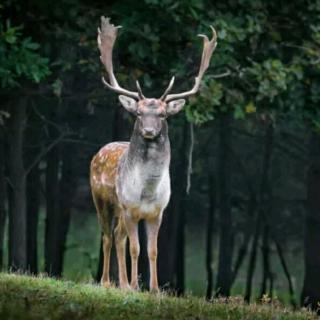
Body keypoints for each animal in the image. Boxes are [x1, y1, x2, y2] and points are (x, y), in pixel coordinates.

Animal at [89, 16, 216, 292]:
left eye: (162, 114)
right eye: (138, 113)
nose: (148, 131)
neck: (147, 192)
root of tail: (99, 151)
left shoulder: (157, 212)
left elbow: (153, 250)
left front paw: (154, 289)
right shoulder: (130, 208)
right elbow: (135, 249)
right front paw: (136, 286)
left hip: (120, 211)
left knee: (118, 236)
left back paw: (122, 283)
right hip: (102, 200)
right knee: (107, 236)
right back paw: (107, 282)